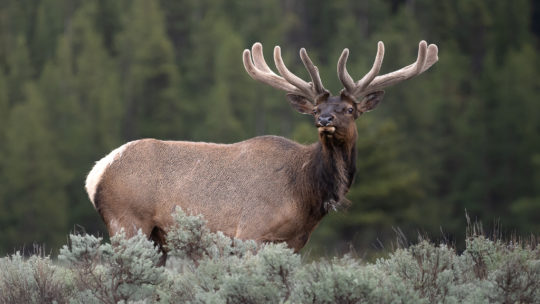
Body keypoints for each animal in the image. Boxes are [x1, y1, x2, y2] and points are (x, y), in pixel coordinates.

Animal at [85, 41, 438, 264]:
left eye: (350, 109)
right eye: (316, 109)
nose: (324, 120)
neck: (305, 193)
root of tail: (96, 174)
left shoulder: (295, 243)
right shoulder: (250, 232)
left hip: (156, 238)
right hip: (127, 221)